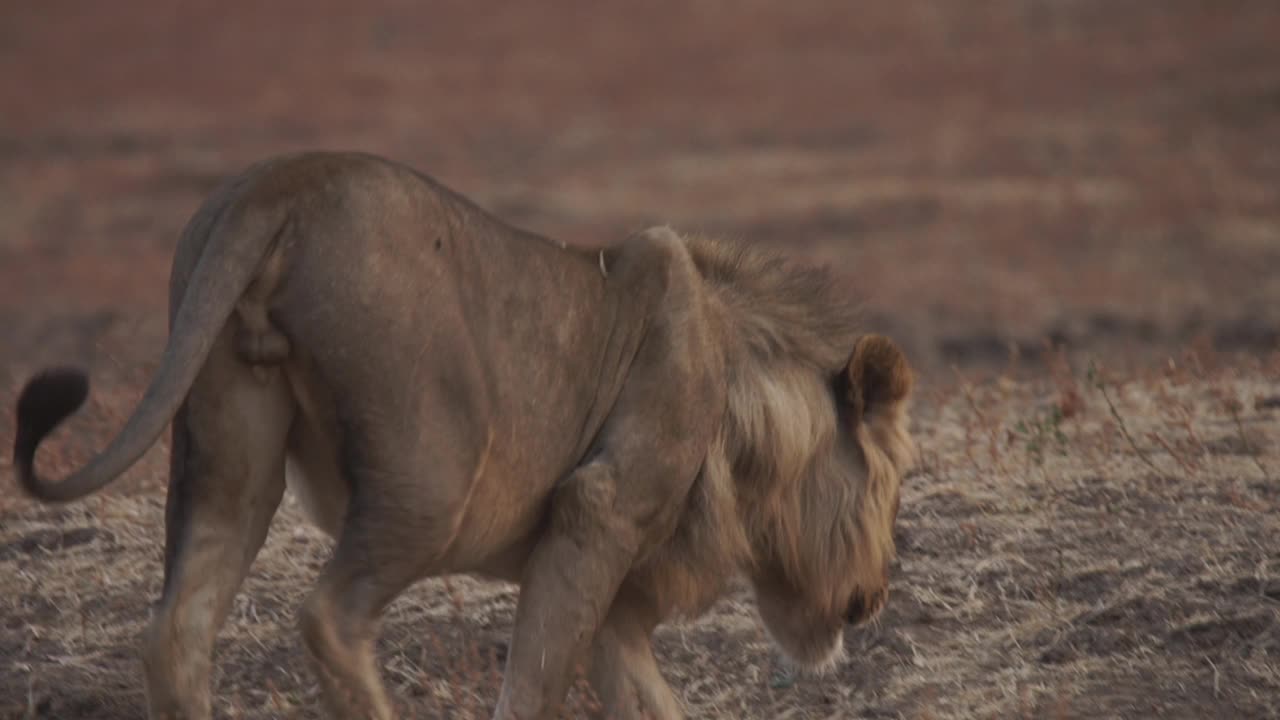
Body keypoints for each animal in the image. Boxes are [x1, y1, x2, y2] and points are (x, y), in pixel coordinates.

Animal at [10, 149, 911, 717]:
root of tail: (283, 184)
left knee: (177, 632)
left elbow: (648, 700)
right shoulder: (597, 512)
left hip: (231, 456)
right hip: (429, 479)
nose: (875, 598)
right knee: (329, 617)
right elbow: (532, 689)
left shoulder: (616, 603)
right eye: (891, 488)